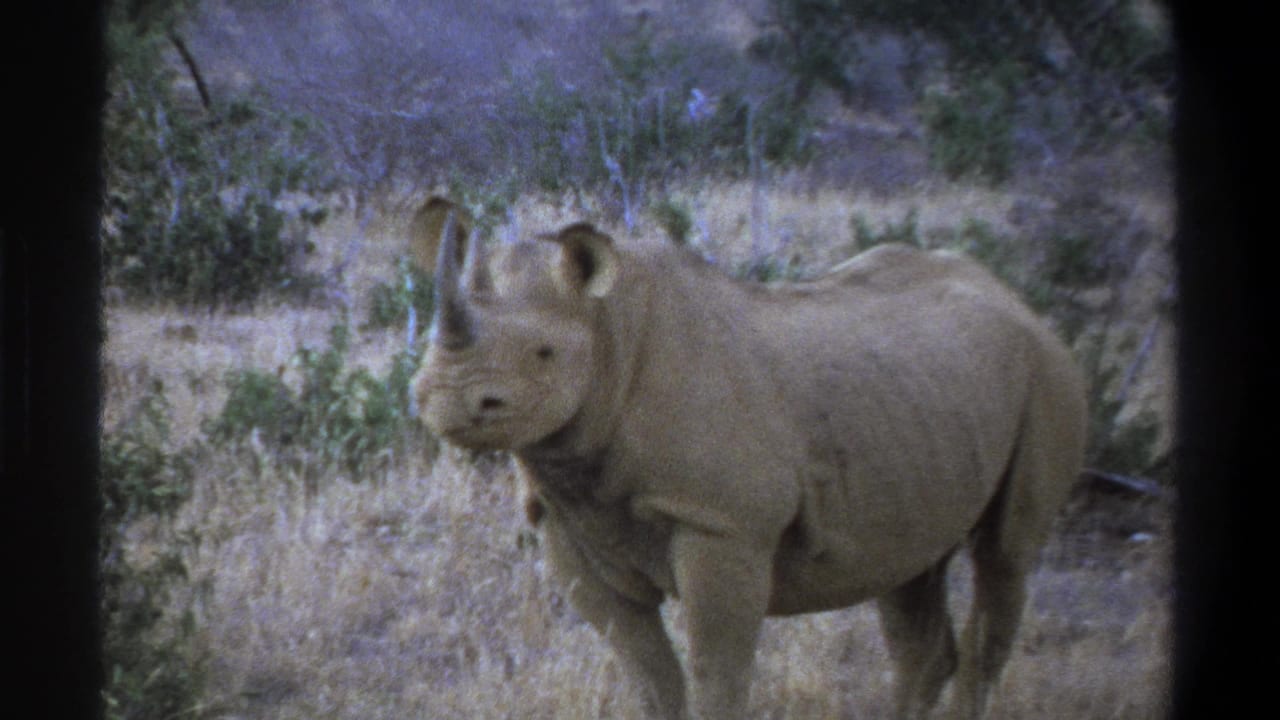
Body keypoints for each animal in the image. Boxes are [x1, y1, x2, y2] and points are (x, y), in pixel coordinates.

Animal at [411, 198, 1087, 720]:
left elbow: (717, 670)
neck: (608, 332)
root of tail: (1017, 299)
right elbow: (647, 671)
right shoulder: (565, 520)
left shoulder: (723, 525)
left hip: (1047, 372)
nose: (444, 397)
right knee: (909, 572)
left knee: (1004, 556)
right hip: (926, 406)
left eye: (544, 354)